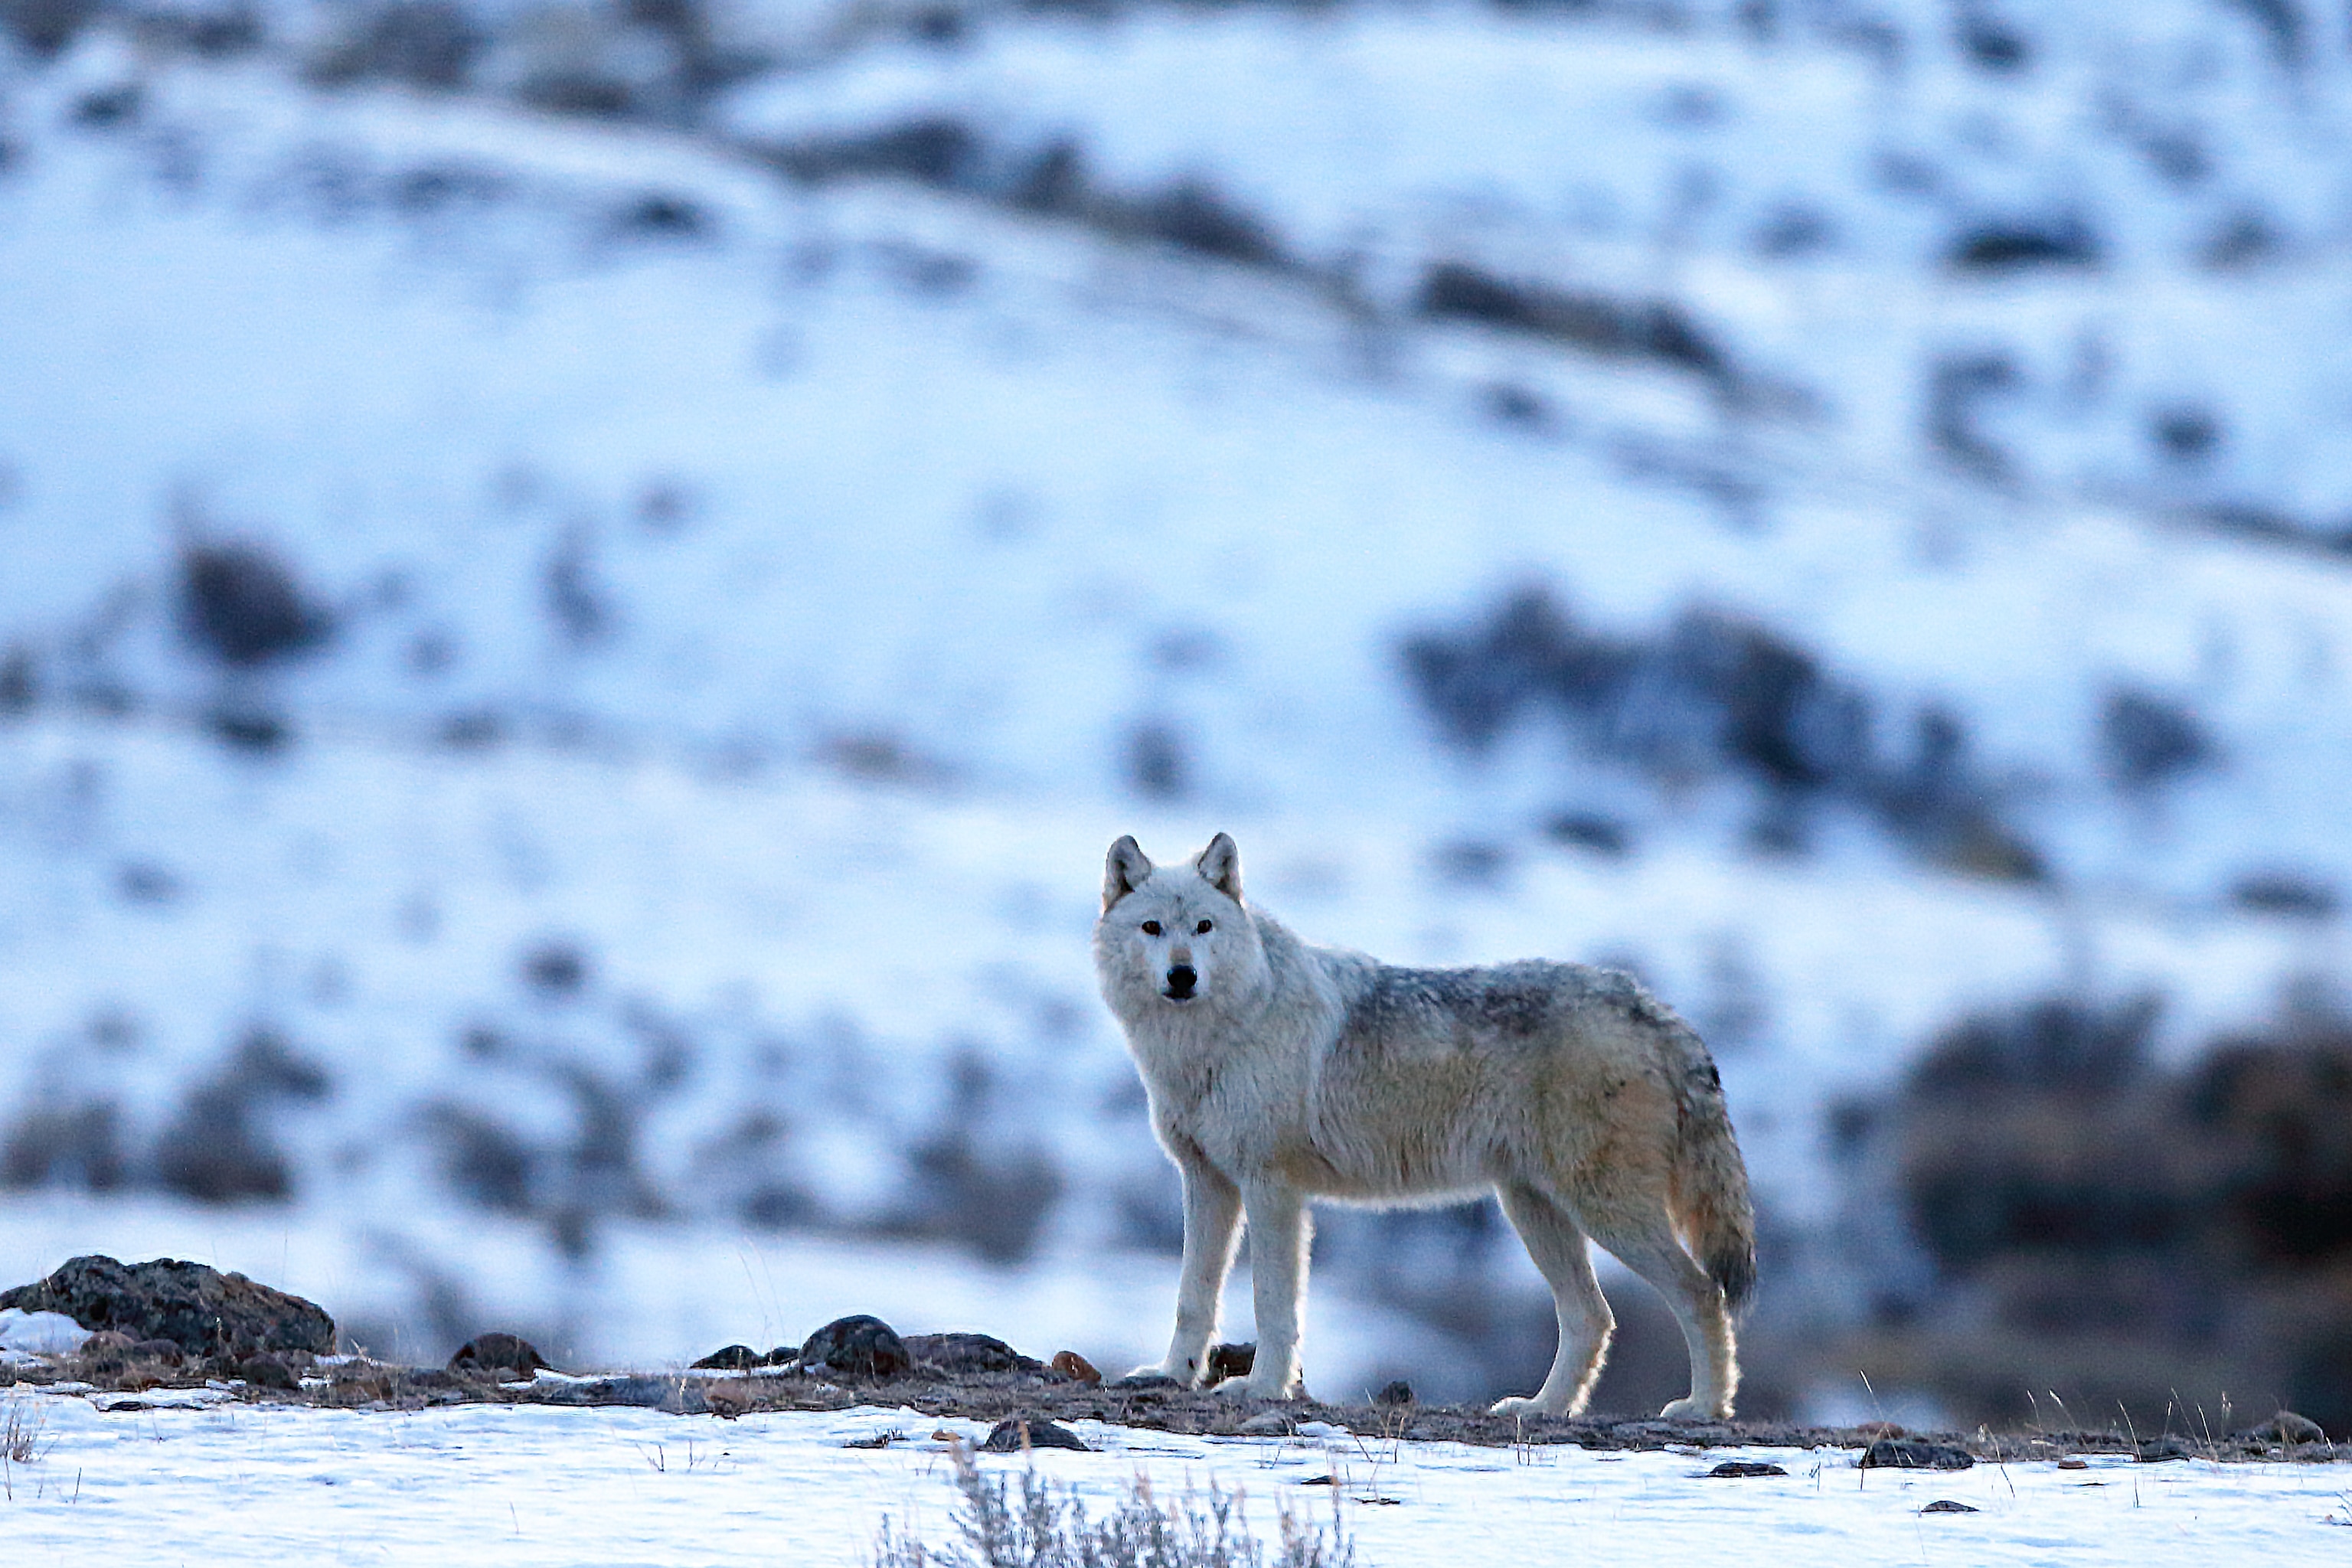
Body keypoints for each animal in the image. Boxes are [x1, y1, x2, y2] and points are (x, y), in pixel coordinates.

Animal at [1094, 833, 1755, 1419]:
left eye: (1204, 928)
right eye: (1153, 929)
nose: (1182, 976)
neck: (1212, 1039)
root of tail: (1655, 1009)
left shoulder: (1271, 1188)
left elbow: (1273, 1305)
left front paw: (1262, 1389)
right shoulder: (1207, 1182)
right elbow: (1193, 1299)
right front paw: (1173, 1374)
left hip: (1603, 1211)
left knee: (1701, 1293)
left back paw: (1704, 1408)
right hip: (1534, 1209)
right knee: (1593, 1317)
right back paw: (1543, 1408)